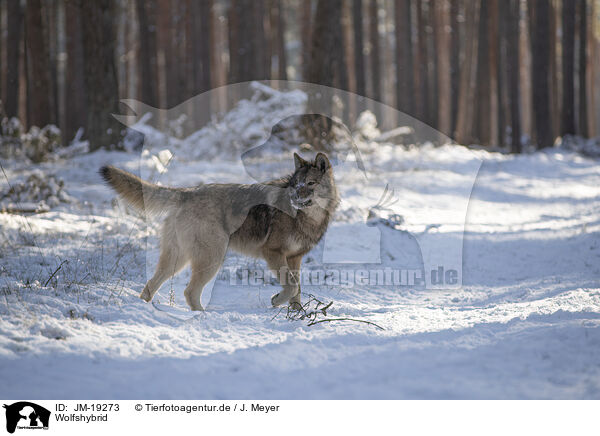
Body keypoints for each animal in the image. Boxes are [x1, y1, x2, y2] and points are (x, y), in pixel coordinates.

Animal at [101, 152, 340, 310]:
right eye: (296, 184)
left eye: (310, 183)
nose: (294, 197)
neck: (305, 217)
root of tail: (186, 192)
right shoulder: (273, 253)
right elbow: (291, 287)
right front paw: (276, 301)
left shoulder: (294, 259)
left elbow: (297, 290)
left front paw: (298, 316)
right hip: (212, 258)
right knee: (189, 291)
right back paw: (201, 317)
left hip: (178, 260)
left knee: (150, 285)